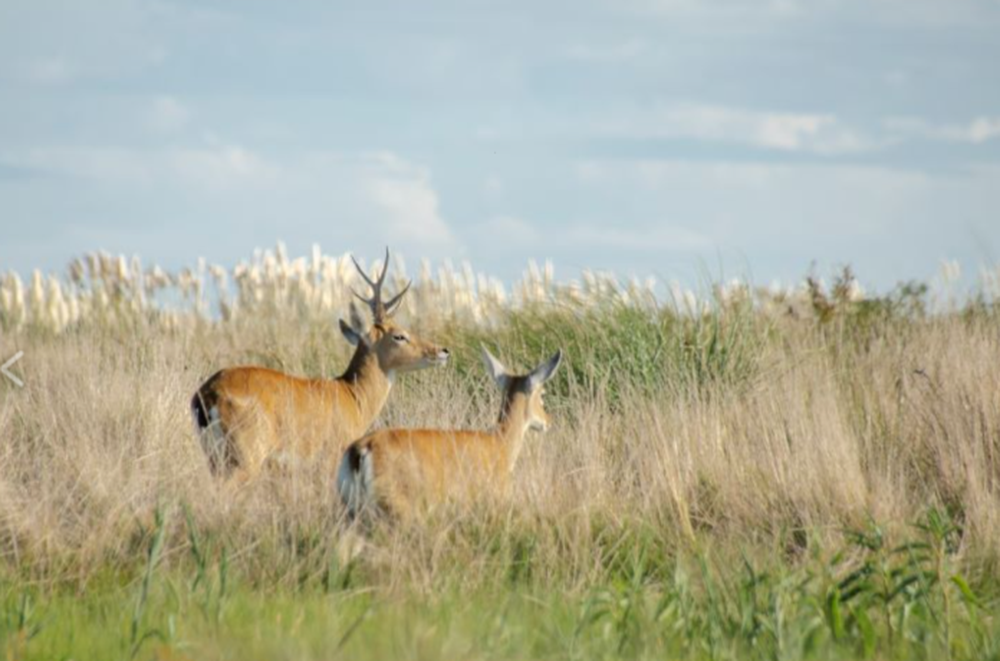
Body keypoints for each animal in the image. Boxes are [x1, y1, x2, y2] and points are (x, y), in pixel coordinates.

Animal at [191, 249, 450, 483]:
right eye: (399, 335)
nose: (443, 351)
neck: (354, 397)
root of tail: (206, 395)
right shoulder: (331, 457)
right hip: (245, 456)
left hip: (215, 458)